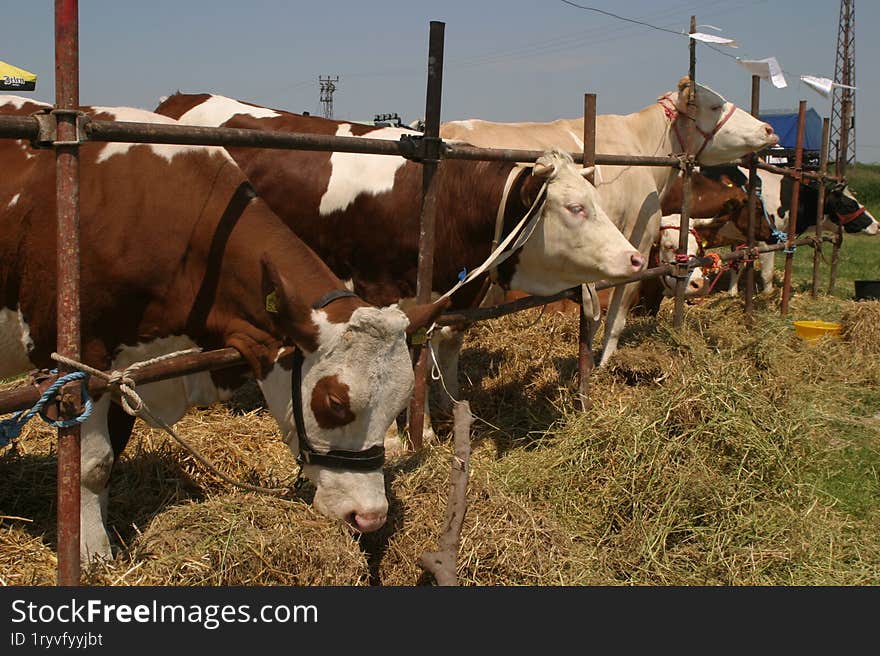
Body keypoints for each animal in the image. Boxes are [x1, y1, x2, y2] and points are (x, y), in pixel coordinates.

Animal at [0, 95, 446, 560]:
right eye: (334, 403)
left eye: (398, 405)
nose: (370, 517)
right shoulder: (82, 362)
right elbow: (92, 464)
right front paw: (91, 553)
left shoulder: (126, 369)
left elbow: (113, 451)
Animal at [153, 89, 648, 434]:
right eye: (575, 208)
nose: (636, 258)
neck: (445, 198)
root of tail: (179, 98)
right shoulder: (381, 288)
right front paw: (413, 432)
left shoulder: (454, 290)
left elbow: (446, 343)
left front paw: (447, 409)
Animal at [440, 79, 776, 366]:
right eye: (714, 105)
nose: (769, 128)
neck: (643, 149)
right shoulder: (639, 238)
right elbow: (618, 311)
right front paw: (602, 362)